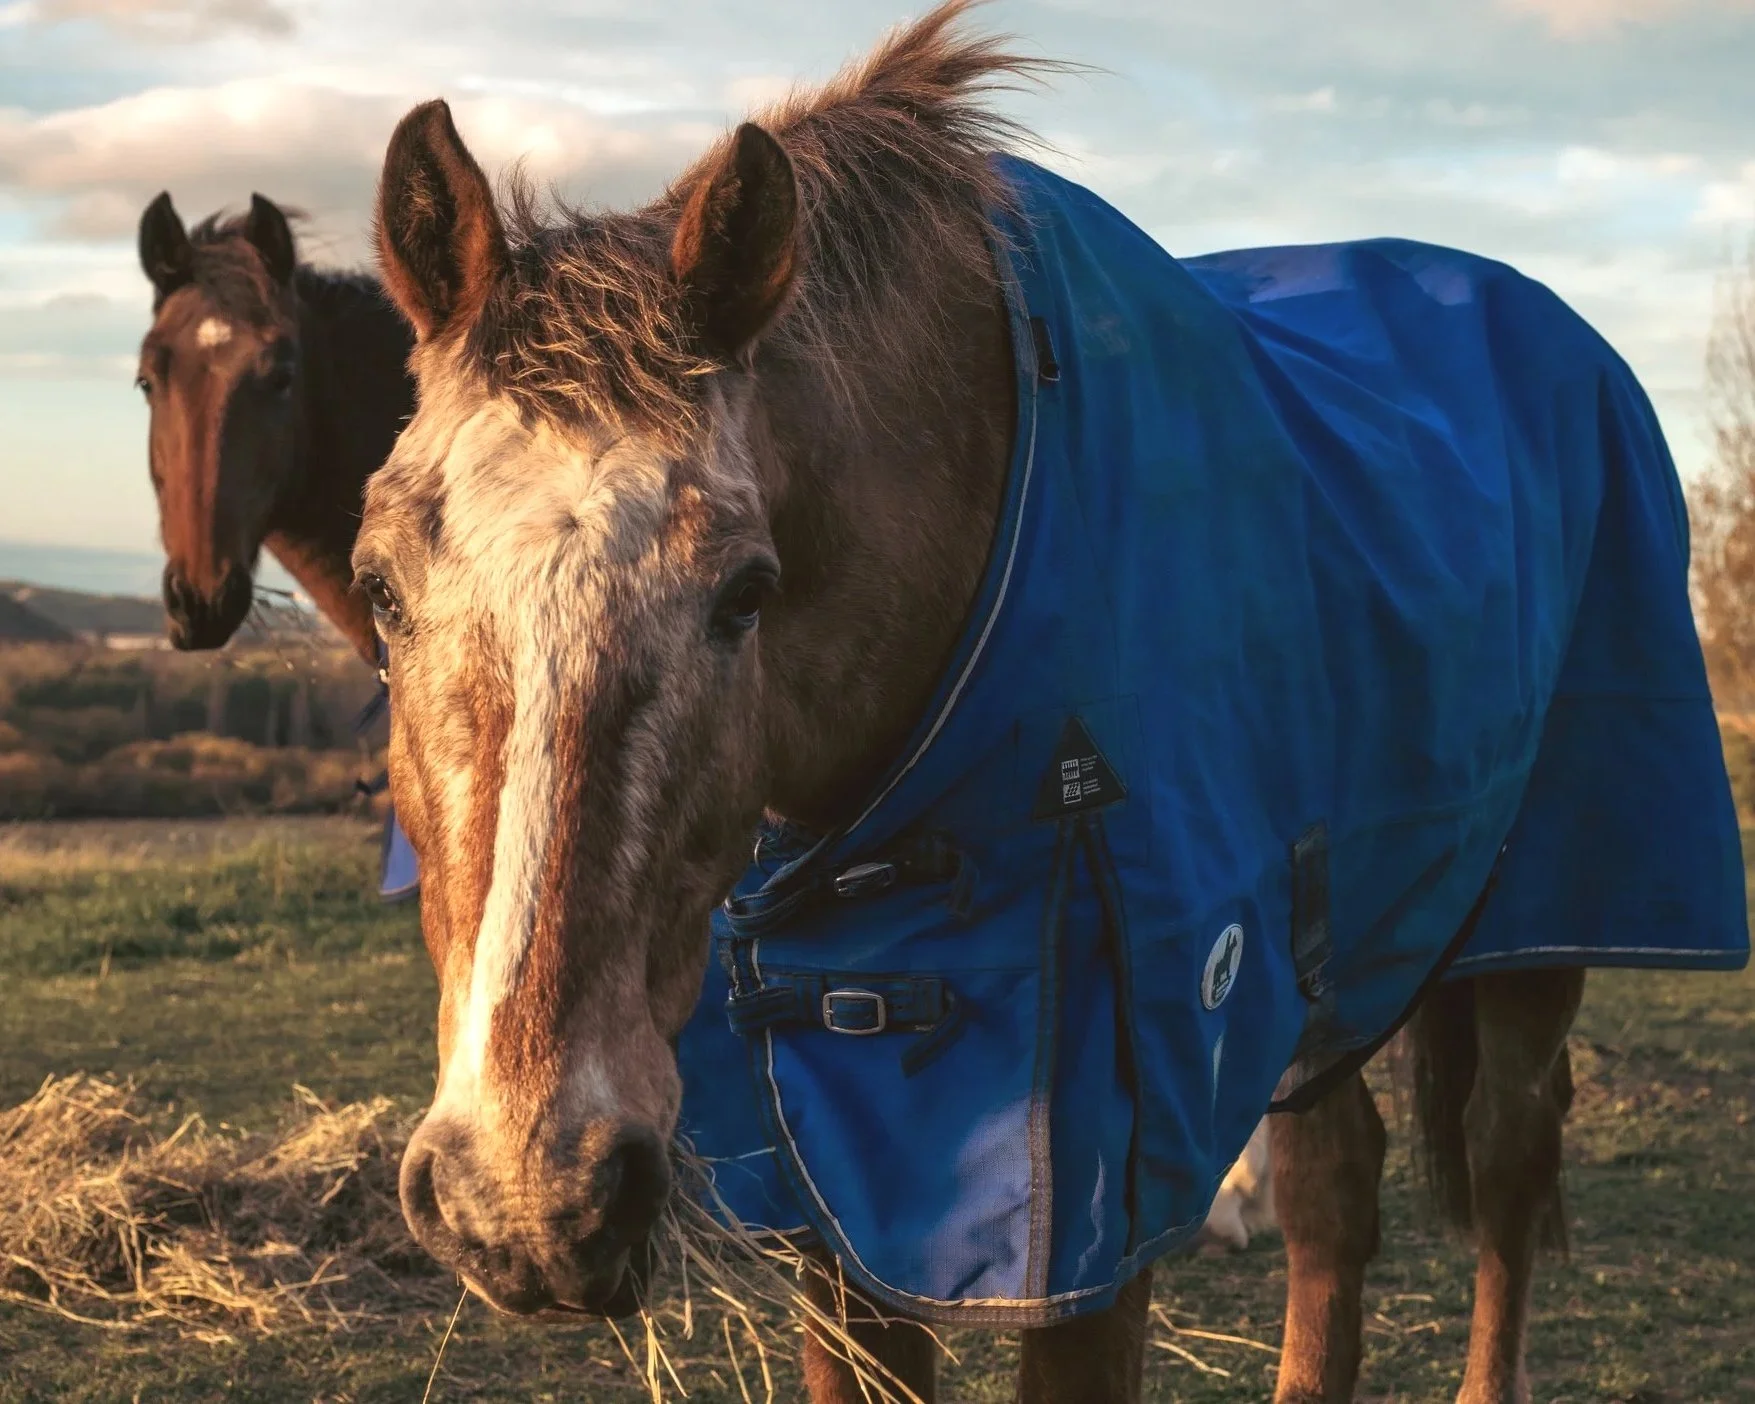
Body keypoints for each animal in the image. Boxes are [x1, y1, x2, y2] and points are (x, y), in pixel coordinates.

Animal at [352, 4, 1745, 1402]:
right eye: (377, 588)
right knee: (1333, 1190)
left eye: (746, 594)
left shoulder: (1097, 1193)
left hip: (1544, 925)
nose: (529, 1203)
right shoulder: (831, 1170)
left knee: (1505, 1164)